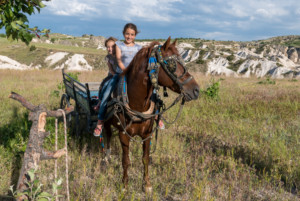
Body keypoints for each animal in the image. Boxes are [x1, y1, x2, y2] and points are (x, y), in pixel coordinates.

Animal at [103, 36, 199, 193]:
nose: (196, 90)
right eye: (172, 64)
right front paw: (124, 185)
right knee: (108, 136)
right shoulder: (123, 135)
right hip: (106, 122)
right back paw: (106, 158)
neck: (137, 104)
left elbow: (145, 158)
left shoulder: (147, 134)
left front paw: (146, 184)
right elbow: (125, 160)